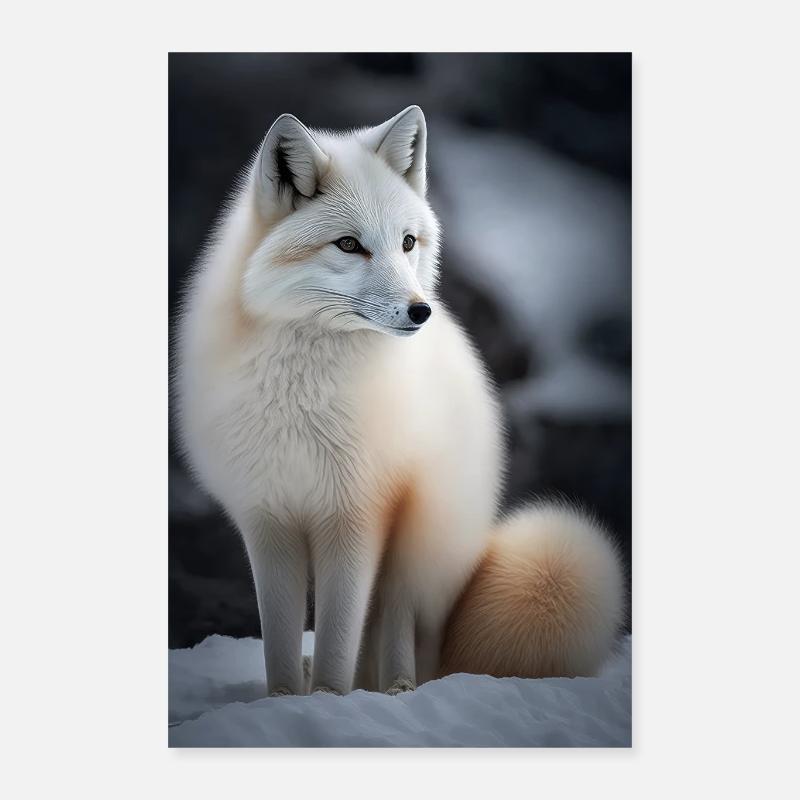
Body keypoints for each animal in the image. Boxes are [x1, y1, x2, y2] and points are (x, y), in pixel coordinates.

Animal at [176, 105, 624, 697]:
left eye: (408, 242)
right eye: (349, 245)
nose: (421, 311)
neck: (301, 397)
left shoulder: (356, 514)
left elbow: (339, 642)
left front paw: (327, 700)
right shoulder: (268, 520)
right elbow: (280, 644)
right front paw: (285, 699)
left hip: (413, 550)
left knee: (397, 624)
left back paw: (397, 689)